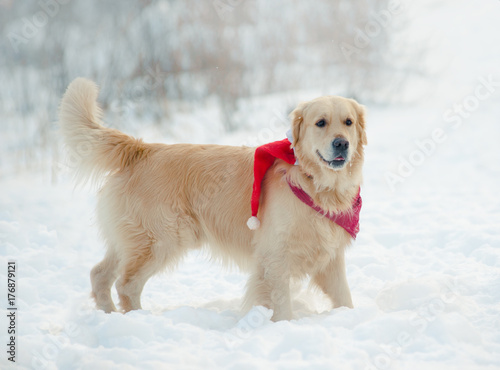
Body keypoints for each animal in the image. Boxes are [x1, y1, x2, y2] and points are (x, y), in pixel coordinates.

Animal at [58, 78, 366, 320]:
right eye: (320, 123)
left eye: (348, 122)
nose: (342, 143)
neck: (314, 183)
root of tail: (142, 148)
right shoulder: (275, 255)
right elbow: (280, 304)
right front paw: (284, 326)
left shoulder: (330, 256)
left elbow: (344, 297)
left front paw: (348, 317)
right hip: (161, 240)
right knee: (126, 284)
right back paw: (138, 320)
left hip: (130, 241)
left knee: (99, 275)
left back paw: (109, 316)